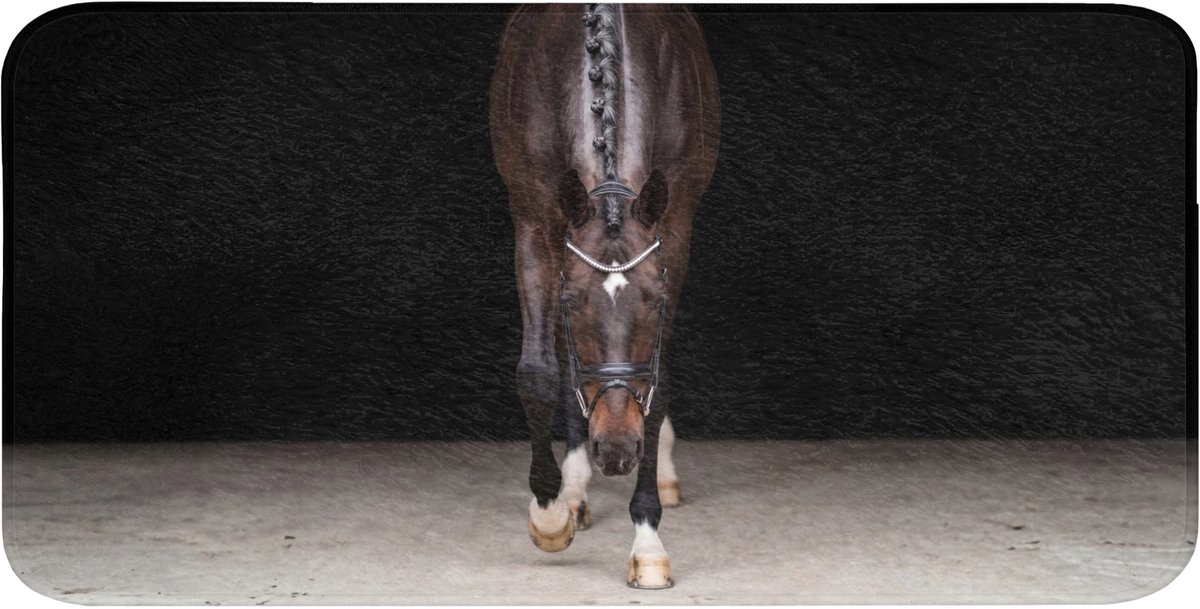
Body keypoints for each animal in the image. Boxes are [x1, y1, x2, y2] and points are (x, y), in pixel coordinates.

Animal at [489, 4, 720, 588]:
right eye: (574, 303)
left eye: (655, 301)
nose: (616, 450)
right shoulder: (534, 218)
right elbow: (540, 371)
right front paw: (549, 513)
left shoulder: (674, 228)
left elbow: (658, 382)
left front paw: (648, 541)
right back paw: (573, 490)